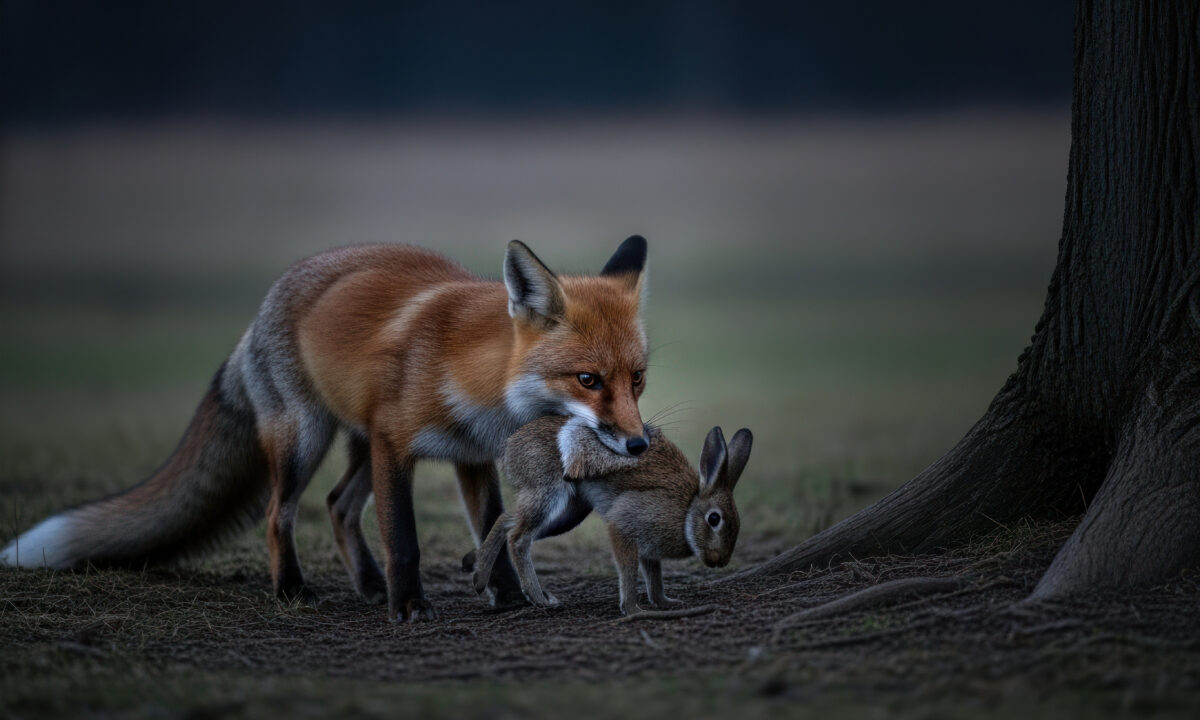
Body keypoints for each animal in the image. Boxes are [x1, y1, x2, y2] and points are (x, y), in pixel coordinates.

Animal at [1, 237, 650, 622]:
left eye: (638, 379)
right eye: (588, 379)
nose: (639, 443)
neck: (477, 382)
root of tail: (261, 310)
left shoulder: (472, 457)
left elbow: (493, 525)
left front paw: (508, 596)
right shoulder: (395, 446)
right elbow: (404, 538)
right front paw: (409, 606)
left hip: (355, 445)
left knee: (338, 505)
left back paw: (366, 584)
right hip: (305, 441)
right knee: (279, 513)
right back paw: (292, 589)